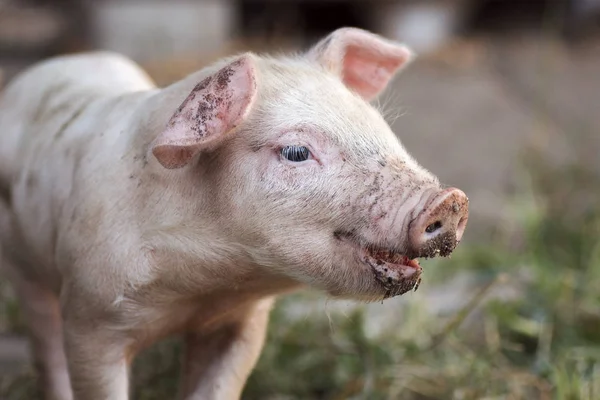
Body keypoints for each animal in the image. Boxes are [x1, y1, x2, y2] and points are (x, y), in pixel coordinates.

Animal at [0, 28, 468, 400]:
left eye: (377, 125)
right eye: (296, 152)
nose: (450, 201)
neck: (202, 287)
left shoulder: (241, 323)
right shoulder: (91, 317)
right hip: (25, 268)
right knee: (45, 345)